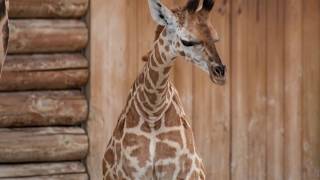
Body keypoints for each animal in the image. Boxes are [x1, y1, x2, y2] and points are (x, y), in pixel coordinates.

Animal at [102, 0, 225, 179]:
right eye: (187, 41)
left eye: (216, 39)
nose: (220, 73)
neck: (153, 112)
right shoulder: (131, 172)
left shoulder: (181, 173)